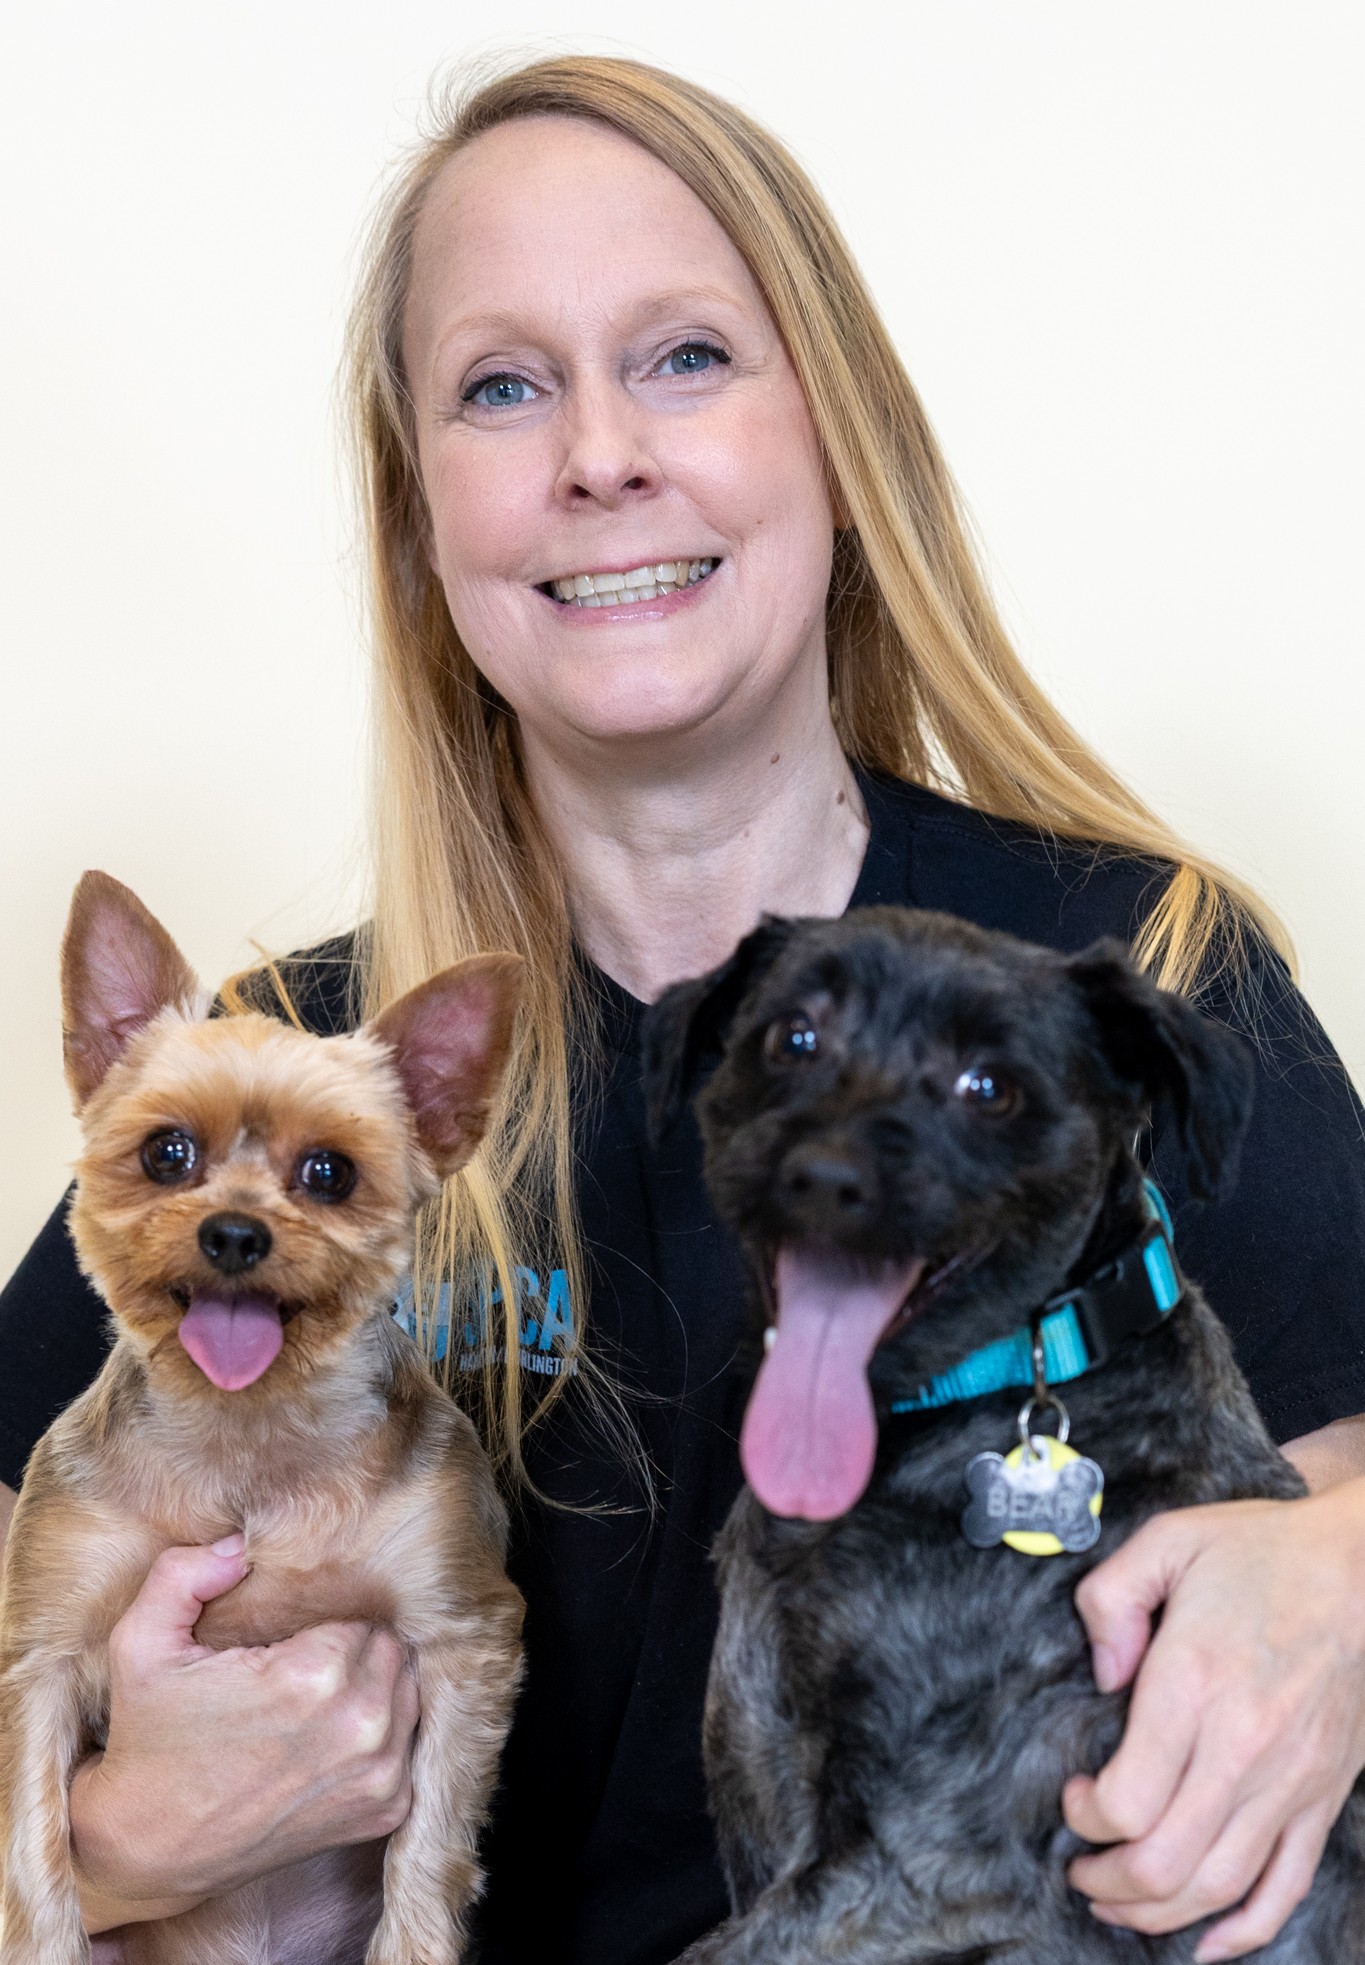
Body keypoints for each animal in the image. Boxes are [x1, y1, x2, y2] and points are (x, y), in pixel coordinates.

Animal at [0, 872, 526, 1965]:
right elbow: (32, 1851)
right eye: (166, 1152)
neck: (248, 1443)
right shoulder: (45, 1646)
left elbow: (430, 1850)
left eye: (329, 1172)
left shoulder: (465, 1633)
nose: (234, 1233)